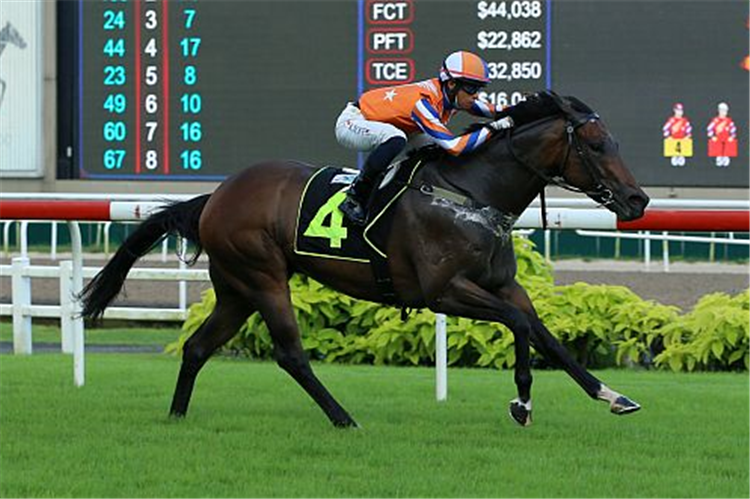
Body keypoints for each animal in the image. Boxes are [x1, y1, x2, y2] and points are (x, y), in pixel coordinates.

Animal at [79, 92, 648, 428]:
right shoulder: (444, 291)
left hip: (236, 289)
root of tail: (216, 196)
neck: (470, 194)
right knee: (290, 354)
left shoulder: (503, 285)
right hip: (263, 277)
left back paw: (176, 416)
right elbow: (518, 325)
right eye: (597, 144)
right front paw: (522, 403)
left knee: (198, 347)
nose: (638, 200)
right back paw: (343, 417)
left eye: (615, 140)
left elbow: (546, 334)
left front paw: (612, 394)